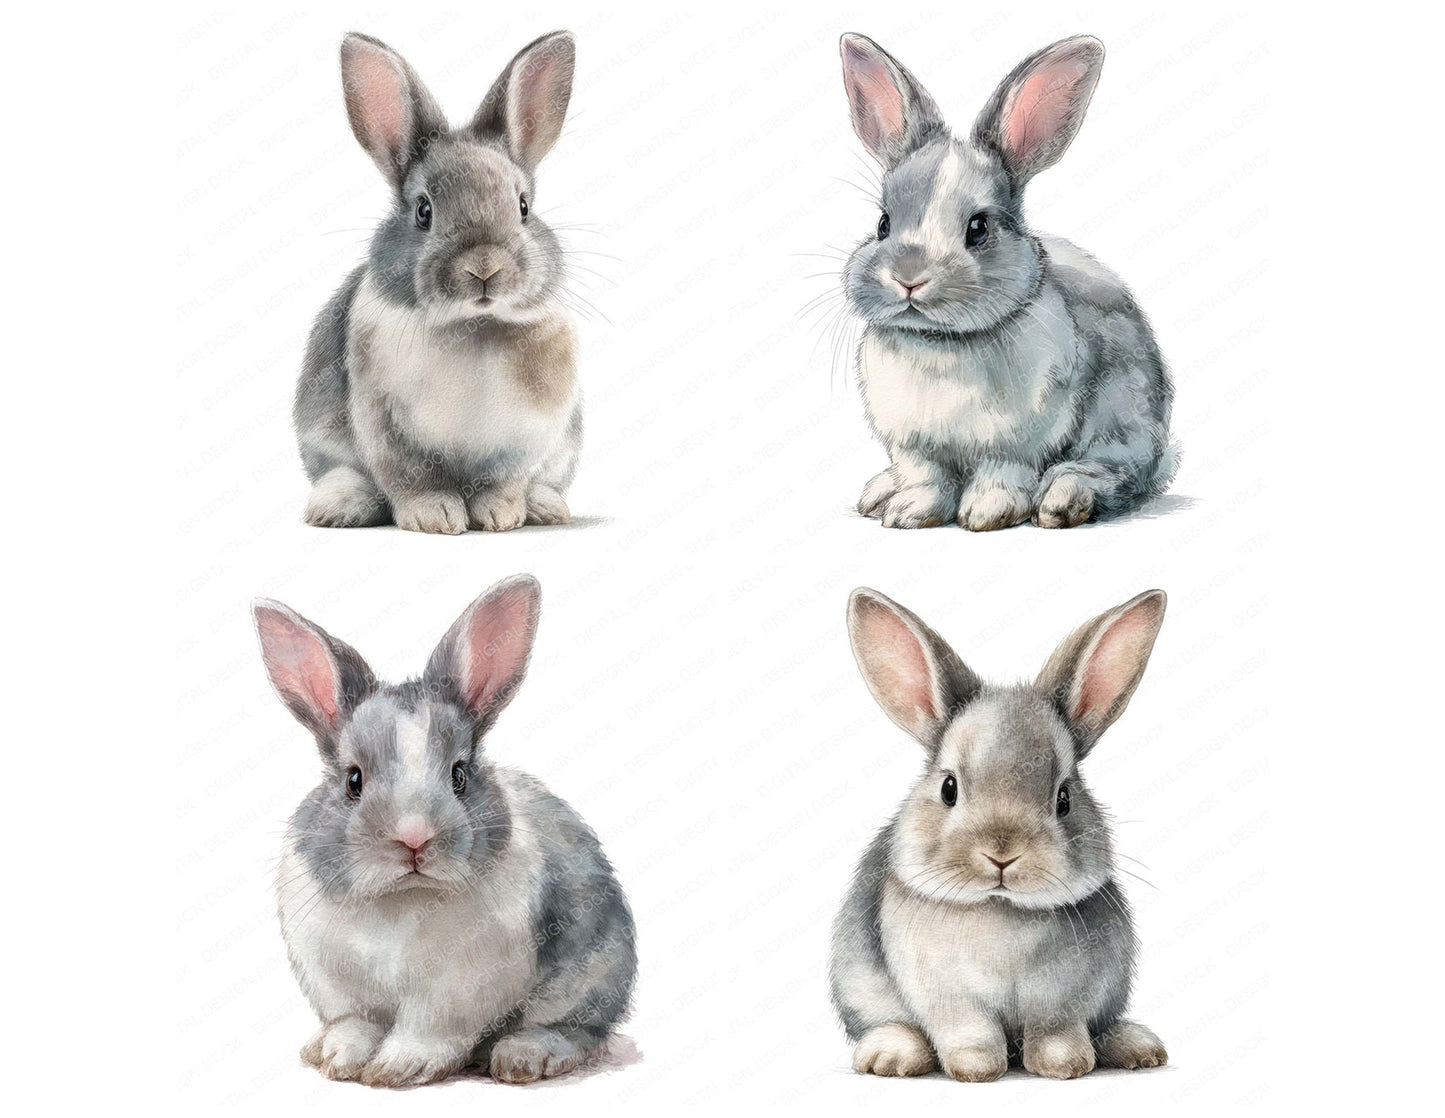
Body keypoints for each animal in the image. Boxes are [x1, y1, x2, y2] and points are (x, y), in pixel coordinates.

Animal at [253, 575, 636, 1087]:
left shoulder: (457, 989)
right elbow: (355, 1022)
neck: (401, 899)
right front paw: (338, 1058)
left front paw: (396, 1067)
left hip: (592, 976)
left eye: (459, 775)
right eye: (353, 780)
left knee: (580, 1030)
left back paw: (525, 1055)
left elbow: (428, 1029)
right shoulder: (339, 985)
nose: (414, 838)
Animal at [295, 32, 584, 534]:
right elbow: (413, 479)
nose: (484, 266)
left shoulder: (524, 437)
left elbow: (503, 481)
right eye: (423, 210)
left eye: (523, 207)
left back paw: (546, 508)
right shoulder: (386, 429)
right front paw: (437, 518)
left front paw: (502, 515)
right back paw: (337, 507)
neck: (474, 325)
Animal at [830, 586, 1170, 1080]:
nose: (1002, 854)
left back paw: (1139, 1048)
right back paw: (890, 1055)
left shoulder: (1063, 999)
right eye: (948, 788)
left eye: (1064, 797)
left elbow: (1056, 1030)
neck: (1002, 910)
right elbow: (969, 1030)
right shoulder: (949, 997)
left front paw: (1065, 1065)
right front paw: (976, 1069)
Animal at [836, 34, 1177, 530]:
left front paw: (987, 513)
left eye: (979, 228)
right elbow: (924, 475)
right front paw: (908, 511)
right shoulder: (913, 445)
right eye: (882, 224)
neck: (941, 344)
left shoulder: (1018, 442)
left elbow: (1001, 471)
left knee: (1113, 473)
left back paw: (1063, 501)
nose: (908, 279)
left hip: (1123, 425)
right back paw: (878, 492)